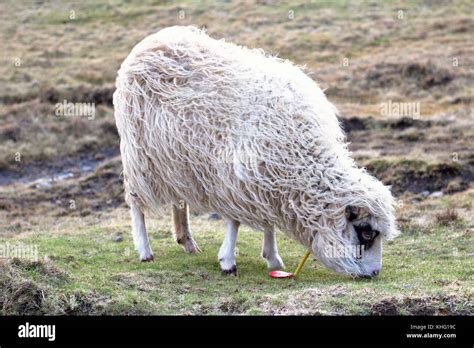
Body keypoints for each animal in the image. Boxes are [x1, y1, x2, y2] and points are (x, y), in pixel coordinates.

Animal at [115, 25, 400, 278]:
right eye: (366, 232)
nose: (375, 273)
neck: (302, 158)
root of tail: (152, 40)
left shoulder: (266, 180)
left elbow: (267, 220)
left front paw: (272, 257)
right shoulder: (235, 176)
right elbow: (235, 221)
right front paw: (228, 261)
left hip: (173, 157)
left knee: (178, 200)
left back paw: (187, 241)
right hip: (139, 152)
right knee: (136, 202)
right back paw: (144, 250)